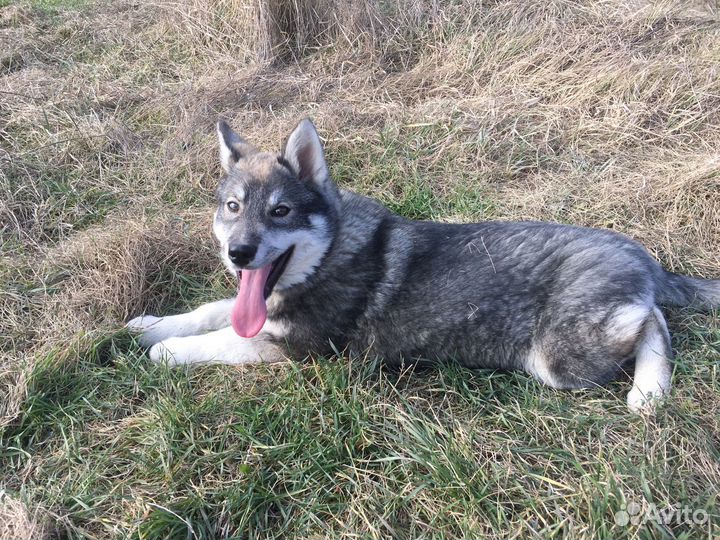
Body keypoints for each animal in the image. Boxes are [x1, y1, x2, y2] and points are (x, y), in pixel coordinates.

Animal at [129, 119, 720, 414]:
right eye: (232, 208)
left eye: (280, 212)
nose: (239, 254)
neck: (329, 253)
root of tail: (643, 256)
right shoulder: (256, 312)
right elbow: (212, 311)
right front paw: (150, 325)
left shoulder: (297, 349)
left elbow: (217, 341)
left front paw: (166, 350)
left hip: (560, 358)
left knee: (653, 320)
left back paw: (649, 391)